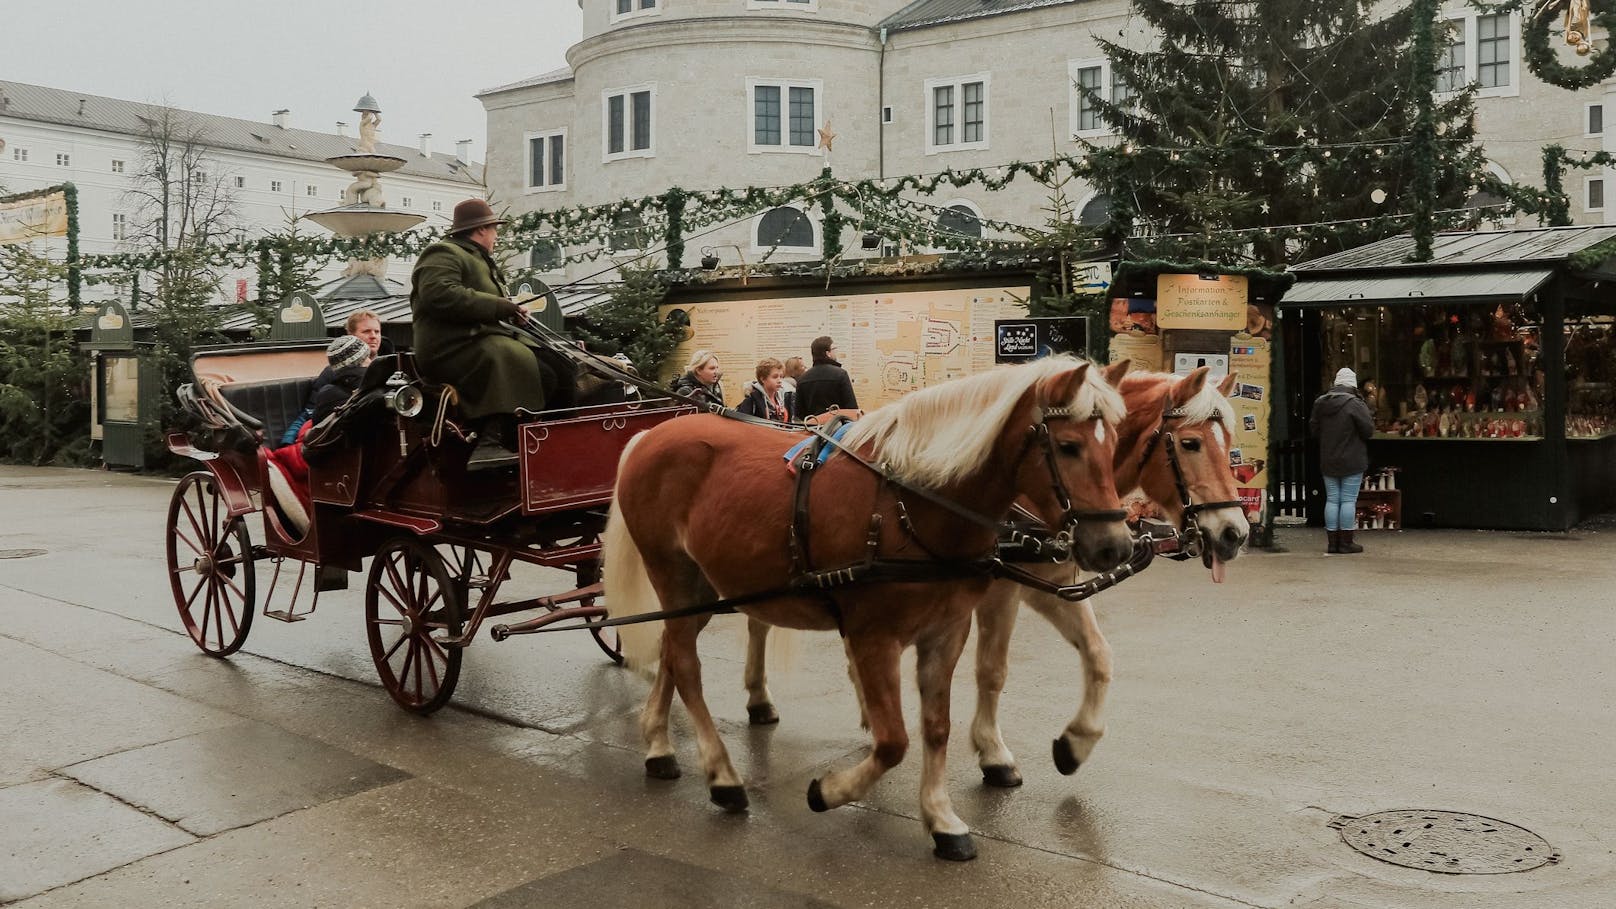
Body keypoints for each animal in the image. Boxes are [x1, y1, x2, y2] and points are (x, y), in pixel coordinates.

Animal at [607, 354, 1137, 854]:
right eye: (1067, 446)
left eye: (1114, 442)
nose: (1115, 545)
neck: (911, 503)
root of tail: (650, 435)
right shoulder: (873, 637)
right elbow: (894, 740)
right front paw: (831, 791)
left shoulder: (947, 631)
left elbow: (937, 726)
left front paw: (941, 818)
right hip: (674, 576)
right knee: (686, 666)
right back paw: (721, 775)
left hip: (706, 589)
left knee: (673, 651)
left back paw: (658, 743)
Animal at [969, 363, 1247, 782]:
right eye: (1190, 443)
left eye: (1228, 440)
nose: (1235, 533)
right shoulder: (999, 589)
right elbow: (992, 669)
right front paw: (993, 752)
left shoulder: (1050, 586)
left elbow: (1099, 654)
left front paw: (1078, 740)